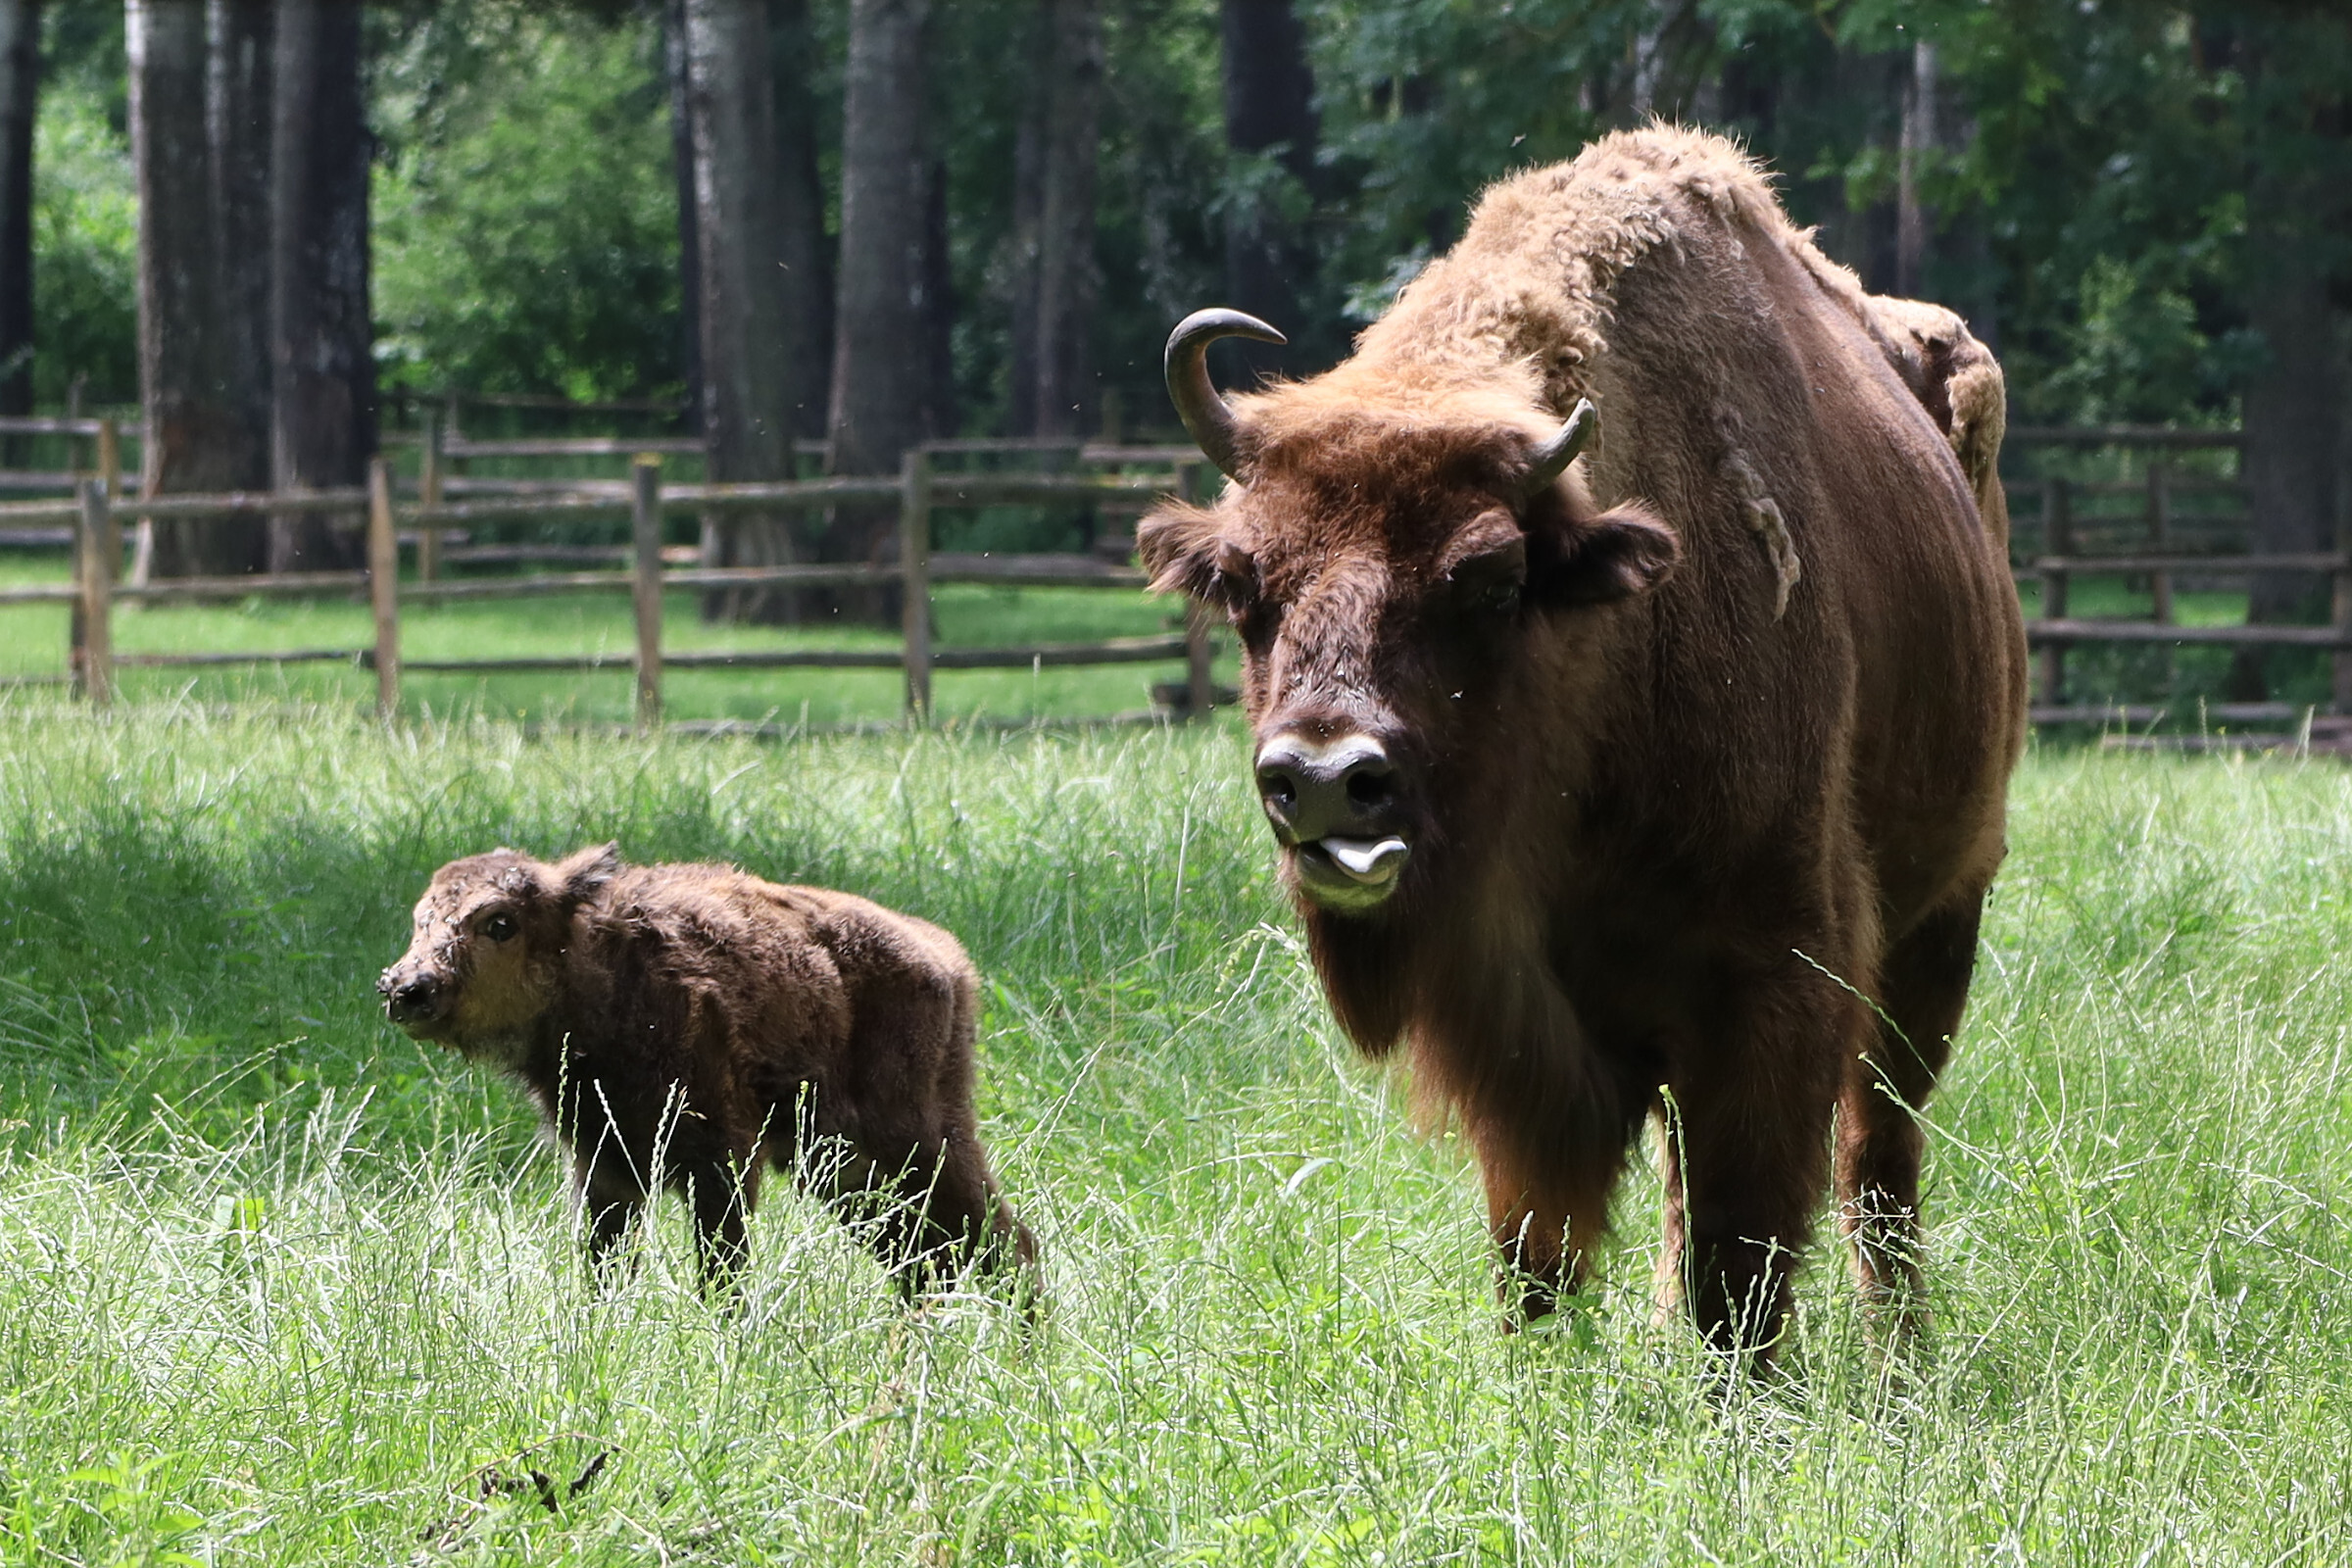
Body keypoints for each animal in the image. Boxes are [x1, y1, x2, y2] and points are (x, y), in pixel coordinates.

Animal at [378, 841, 1039, 1306]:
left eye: (499, 922)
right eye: (420, 919)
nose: (406, 988)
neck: (603, 969)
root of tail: (949, 964)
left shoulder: (721, 1163)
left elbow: (721, 1274)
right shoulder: (606, 1166)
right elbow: (606, 1269)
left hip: (915, 1147)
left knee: (1001, 1243)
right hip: (848, 1174)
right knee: (931, 1258)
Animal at [1138, 125, 2023, 1363]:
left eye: (1492, 578)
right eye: (1245, 580)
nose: (1321, 779)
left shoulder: (1773, 981)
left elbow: (1741, 1253)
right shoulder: (1522, 1043)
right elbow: (1540, 1249)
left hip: (1943, 914)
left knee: (1878, 1155)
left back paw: (1903, 1353)